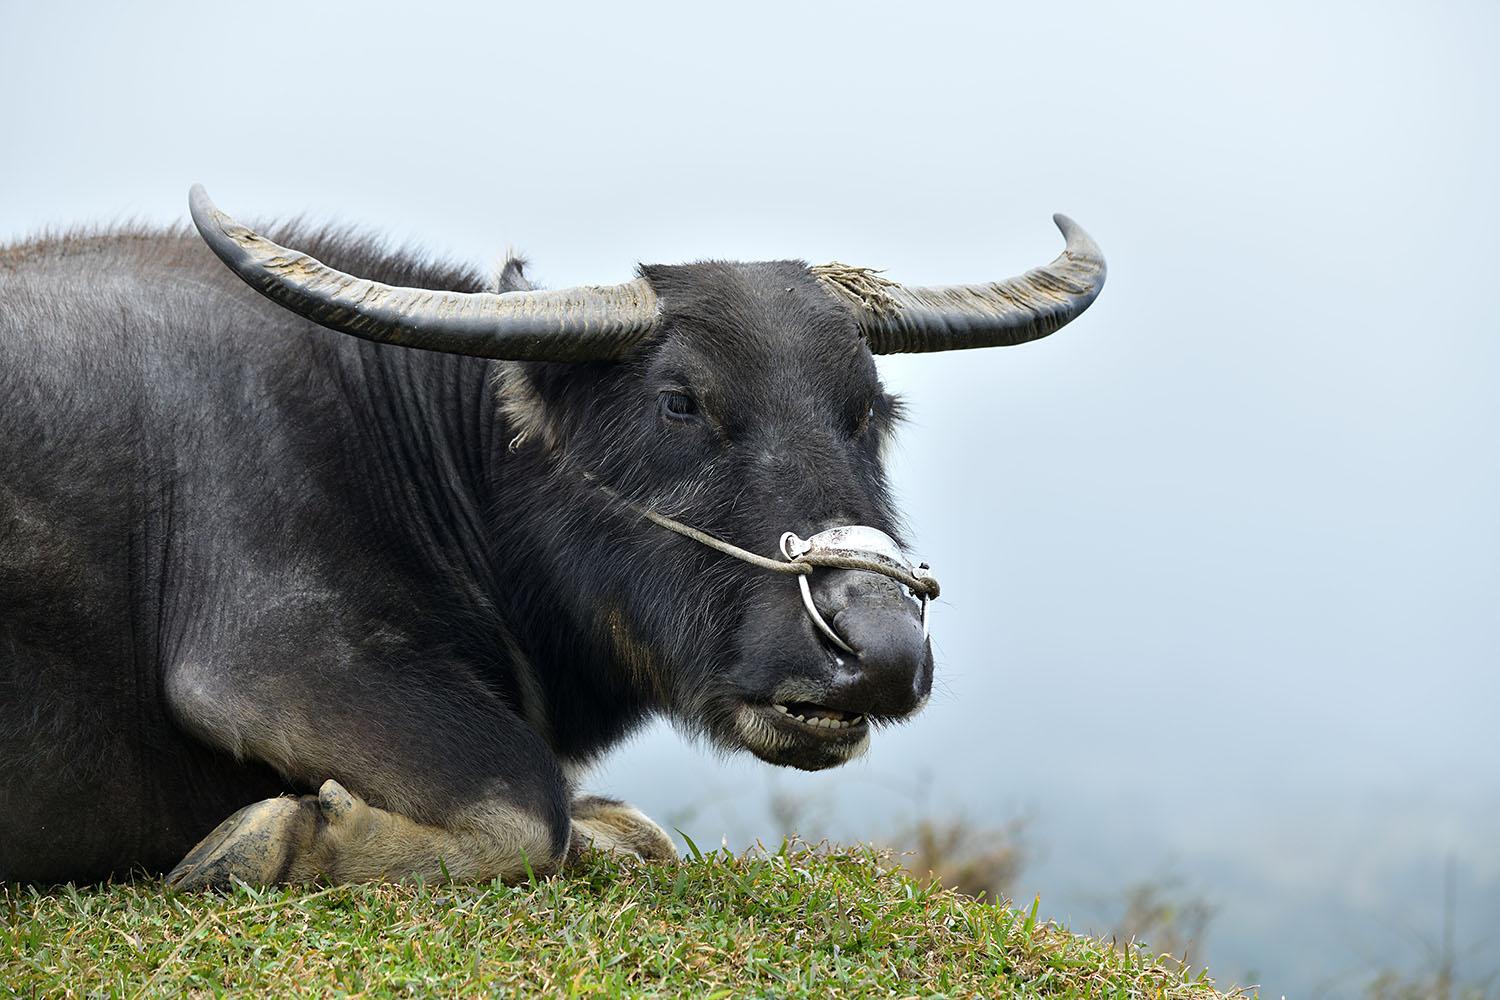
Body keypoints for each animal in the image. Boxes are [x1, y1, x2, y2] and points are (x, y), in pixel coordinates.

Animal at [0, 187, 1104, 881]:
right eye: (679, 402)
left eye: (869, 409)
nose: (878, 649)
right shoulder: (270, 658)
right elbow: (526, 804)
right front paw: (268, 843)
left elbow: (628, 827)